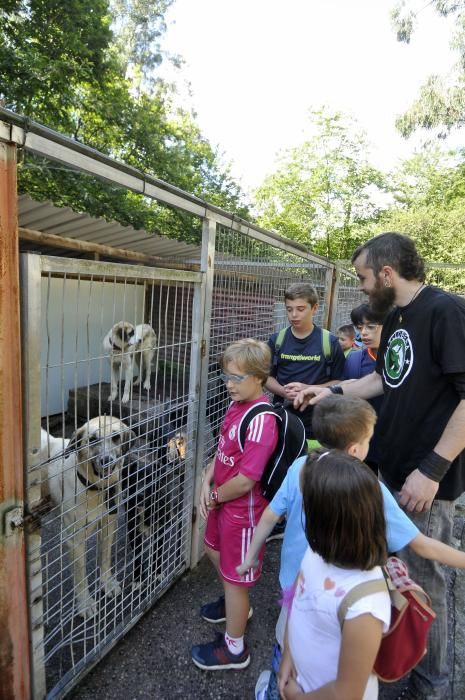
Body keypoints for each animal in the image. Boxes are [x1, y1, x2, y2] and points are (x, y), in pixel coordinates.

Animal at [39, 416, 134, 616]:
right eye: (92, 439)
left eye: (116, 437)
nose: (106, 461)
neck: (96, 489)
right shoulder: (74, 540)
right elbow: (81, 575)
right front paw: (85, 603)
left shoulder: (108, 524)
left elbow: (105, 558)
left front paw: (107, 583)